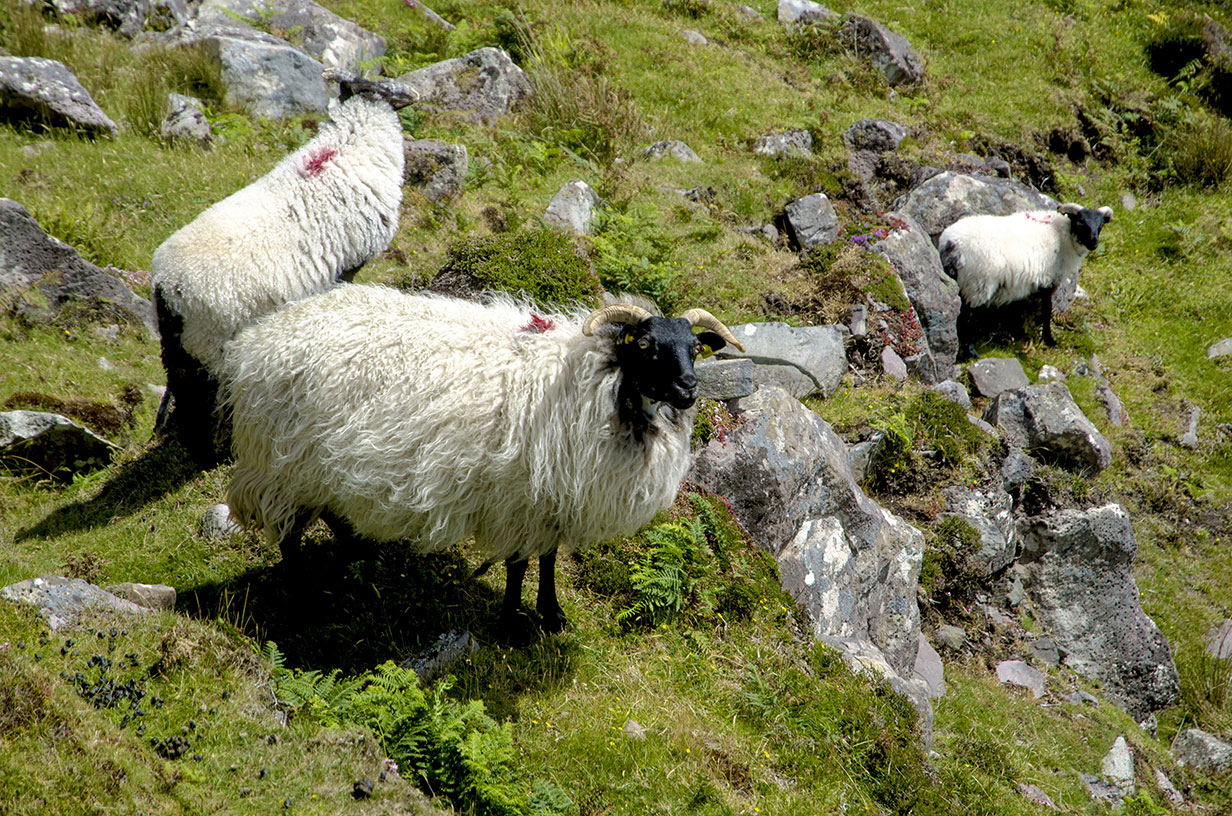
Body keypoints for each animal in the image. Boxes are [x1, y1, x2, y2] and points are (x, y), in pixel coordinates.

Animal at [151, 72, 415, 466]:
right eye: (382, 86)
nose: (412, 93)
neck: (346, 144)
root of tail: (166, 288)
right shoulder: (349, 264)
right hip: (211, 344)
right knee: (203, 401)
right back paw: (215, 455)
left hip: (182, 349)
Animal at [221, 284, 744, 639]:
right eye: (646, 346)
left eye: (694, 348)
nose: (689, 389)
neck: (597, 387)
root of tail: (255, 341)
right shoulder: (520, 499)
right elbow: (518, 564)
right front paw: (512, 621)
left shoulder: (549, 501)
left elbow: (548, 558)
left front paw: (551, 613)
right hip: (283, 466)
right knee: (288, 536)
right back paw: (304, 600)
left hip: (320, 467)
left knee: (330, 513)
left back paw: (359, 552)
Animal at [938, 202, 1113, 360]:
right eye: (1080, 222)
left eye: (1100, 225)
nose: (1093, 243)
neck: (1065, 237)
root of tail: (952, 244)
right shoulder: (1049, 280)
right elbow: (1047, 310)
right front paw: (1049, 340)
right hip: (977, 284)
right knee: (966, 319)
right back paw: (971, 353)